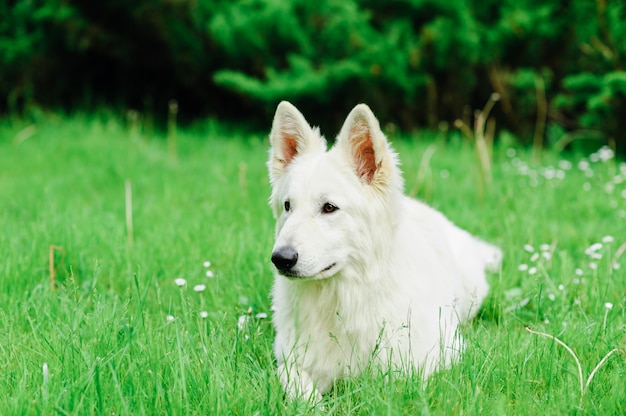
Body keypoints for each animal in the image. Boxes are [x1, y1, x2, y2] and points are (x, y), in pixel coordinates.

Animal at [266, 101, 500, 404]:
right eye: (287, 206)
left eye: (329, 207)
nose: (280, 259)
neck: (345, 298)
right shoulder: (290, 359)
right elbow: (296, 384)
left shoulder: (428, 357)